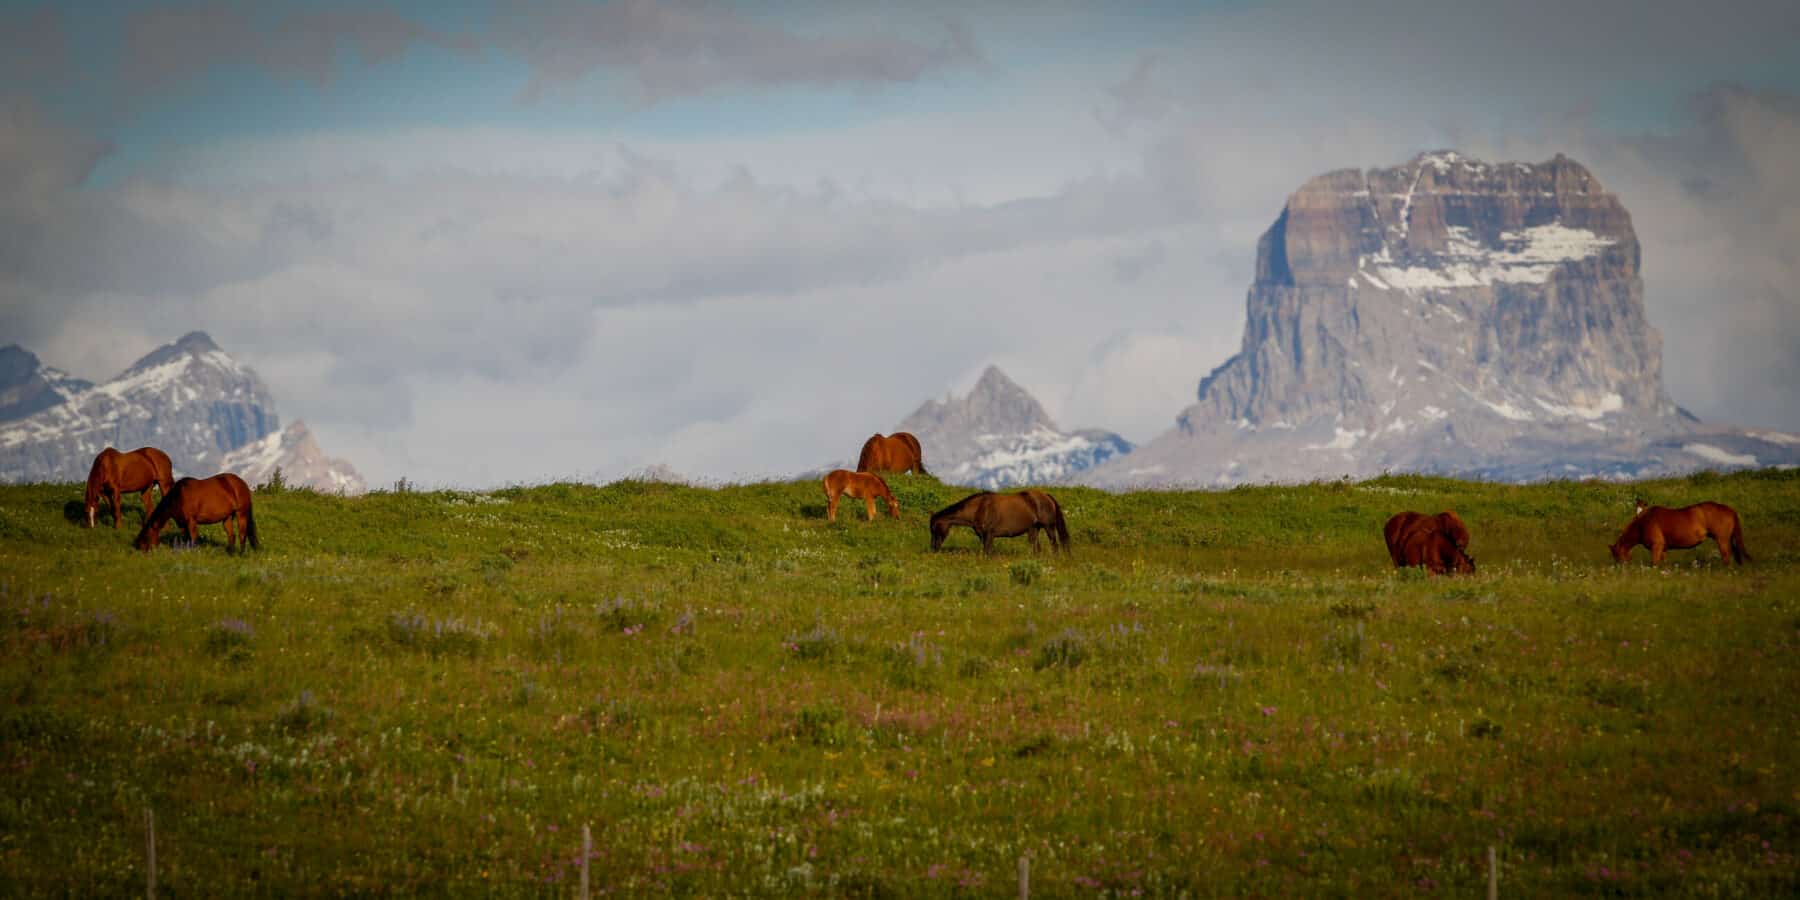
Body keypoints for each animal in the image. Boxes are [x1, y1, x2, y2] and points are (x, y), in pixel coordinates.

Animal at [929, 490, 1070, 555]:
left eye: (934, 528)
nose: (933, 549)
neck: (979, 507)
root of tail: (1046, 495)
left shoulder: (989, 535)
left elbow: (987, 552)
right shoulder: (983, 536)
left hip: (1048, 527)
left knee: (1054, 544)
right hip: (1033, 529)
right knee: (1036, 548)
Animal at [1611, 501, 1749, 566]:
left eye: (1617, 555)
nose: (1621, 569)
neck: (1643, 522)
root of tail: (1730, 510)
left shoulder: (1656, 547)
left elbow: (1654, 564)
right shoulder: (1663, 549)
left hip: (1722, 540)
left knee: (1726, 558)